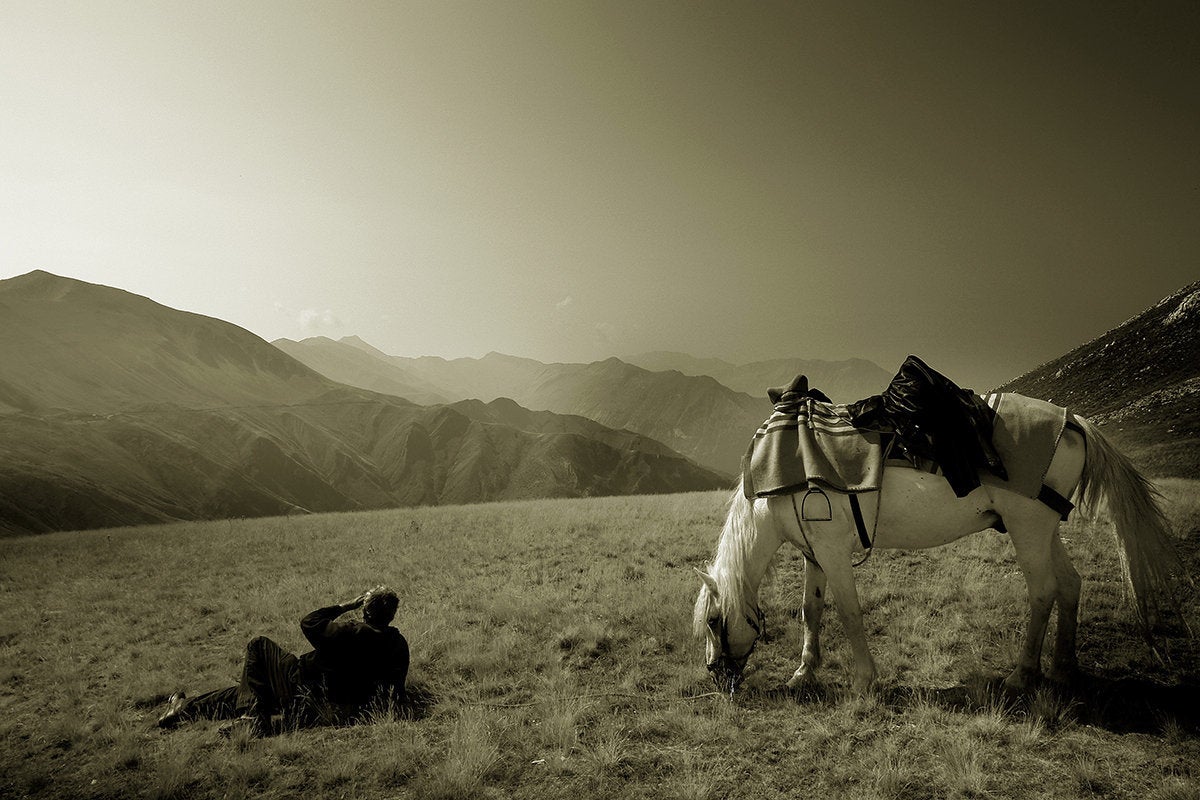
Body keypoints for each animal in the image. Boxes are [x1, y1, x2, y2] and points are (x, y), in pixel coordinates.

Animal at [696, 407, 1180, 695]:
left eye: (714, 620)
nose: (716, 675)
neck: (784, 475)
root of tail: (1072, 420)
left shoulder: (832, 551)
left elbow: (849, 612)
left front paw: (865, 680)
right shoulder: (814, 552)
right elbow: (810, 611)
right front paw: (804, 672)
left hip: (1027, 529)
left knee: (1043, 590)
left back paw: (1023, 674)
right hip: (1044, 532)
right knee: (1070, 584)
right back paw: (1063, 666)